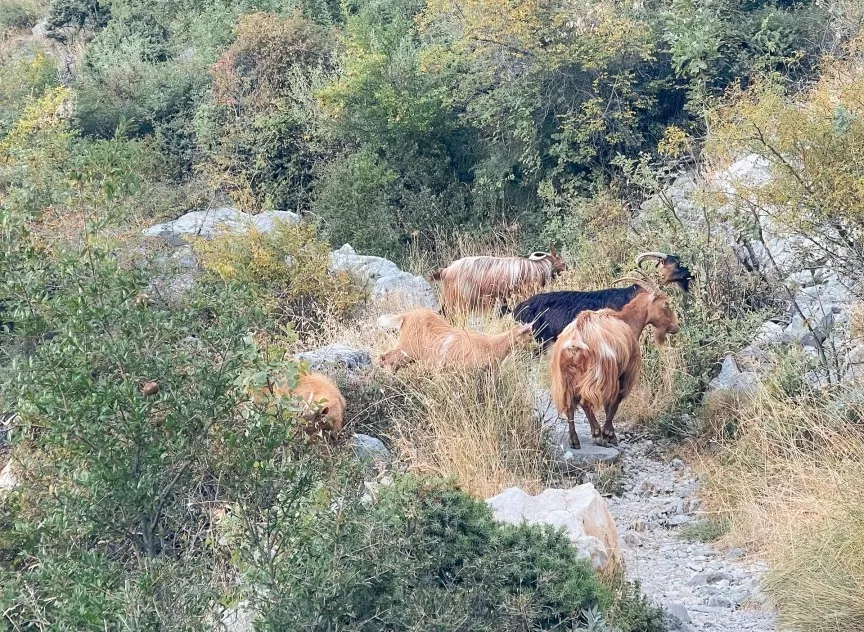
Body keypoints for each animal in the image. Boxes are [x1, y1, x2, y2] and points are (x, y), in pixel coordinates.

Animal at [377, 308, 534, 371]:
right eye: (530, 335)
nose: (537, 347)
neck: (491, 346)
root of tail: (406, 316)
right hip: (408, 348)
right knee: (385, 357)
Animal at [549, 281, 680, 449]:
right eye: (666, 304)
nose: (676, 325)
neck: (626, 321)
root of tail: (576, 336)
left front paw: (608, 434)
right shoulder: (624, 372)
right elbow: (614, 402)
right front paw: (609, 434)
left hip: (565, 377)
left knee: (569, 404)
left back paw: (574, 440)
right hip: (598, 374)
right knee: (586, 401)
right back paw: (597, 434)